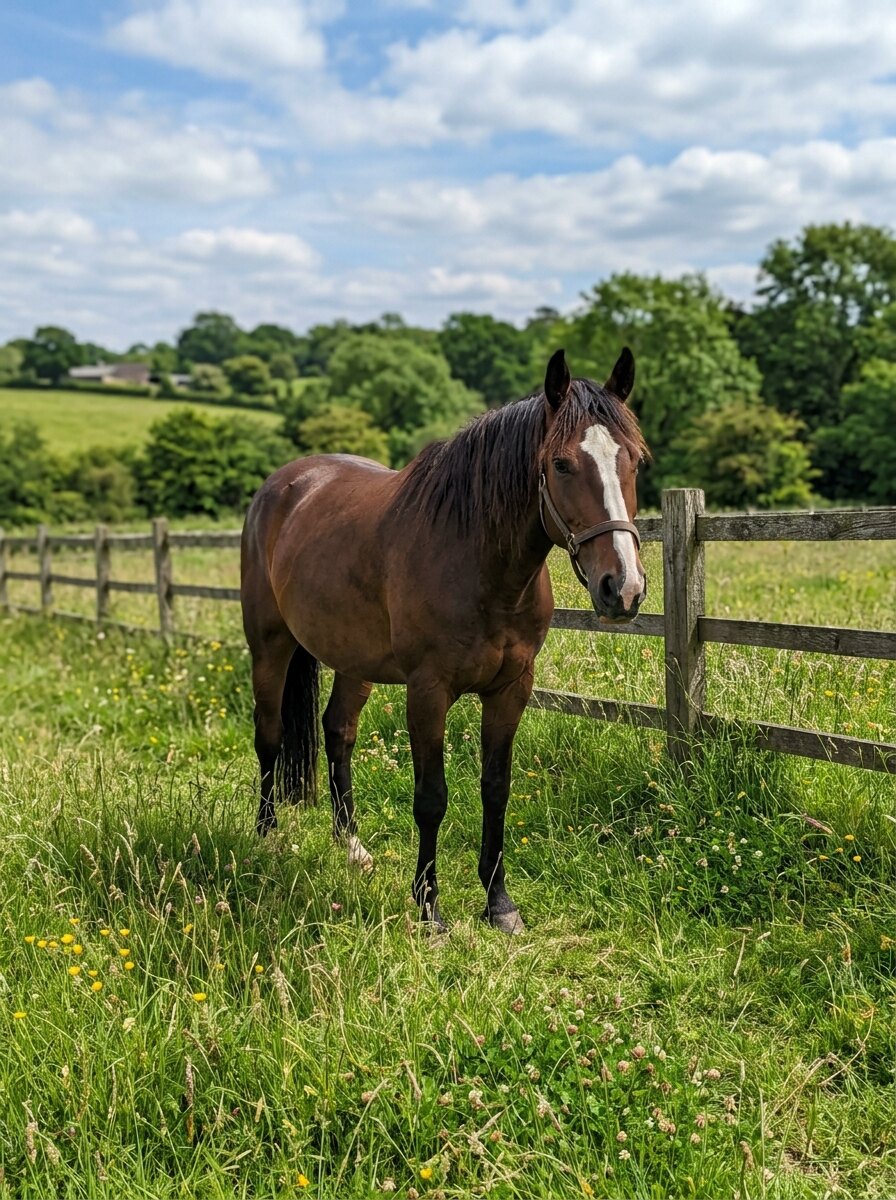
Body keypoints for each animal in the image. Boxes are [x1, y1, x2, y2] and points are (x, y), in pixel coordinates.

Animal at [240, 348, 648, 933]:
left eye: (635, 461)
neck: (478, 561)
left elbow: (496, 789)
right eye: (561, 464)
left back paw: (351, 848)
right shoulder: (427, 691)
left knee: (338, 732)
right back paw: (267, 837)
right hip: (269, 645)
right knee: (269, 736)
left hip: (352, 660)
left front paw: (499, 904)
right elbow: (431, 798)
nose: (624, 588)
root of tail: (284, 483)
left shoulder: (511, 689)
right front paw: (429, 907)